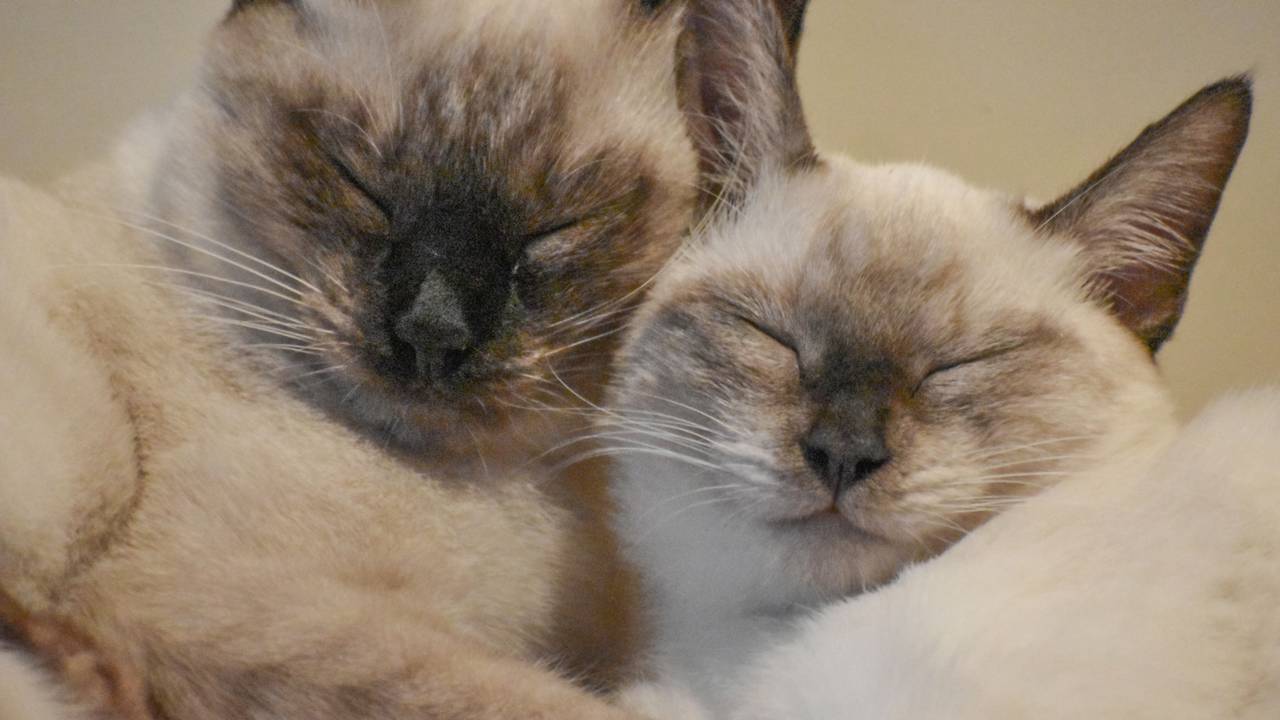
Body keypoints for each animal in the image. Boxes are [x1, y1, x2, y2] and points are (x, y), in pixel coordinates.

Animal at [0, 0, 764, 717]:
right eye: (360, 186)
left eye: (556, 230)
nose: (432, 331)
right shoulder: (243, 608)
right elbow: (549, 703)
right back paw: (94, 678)